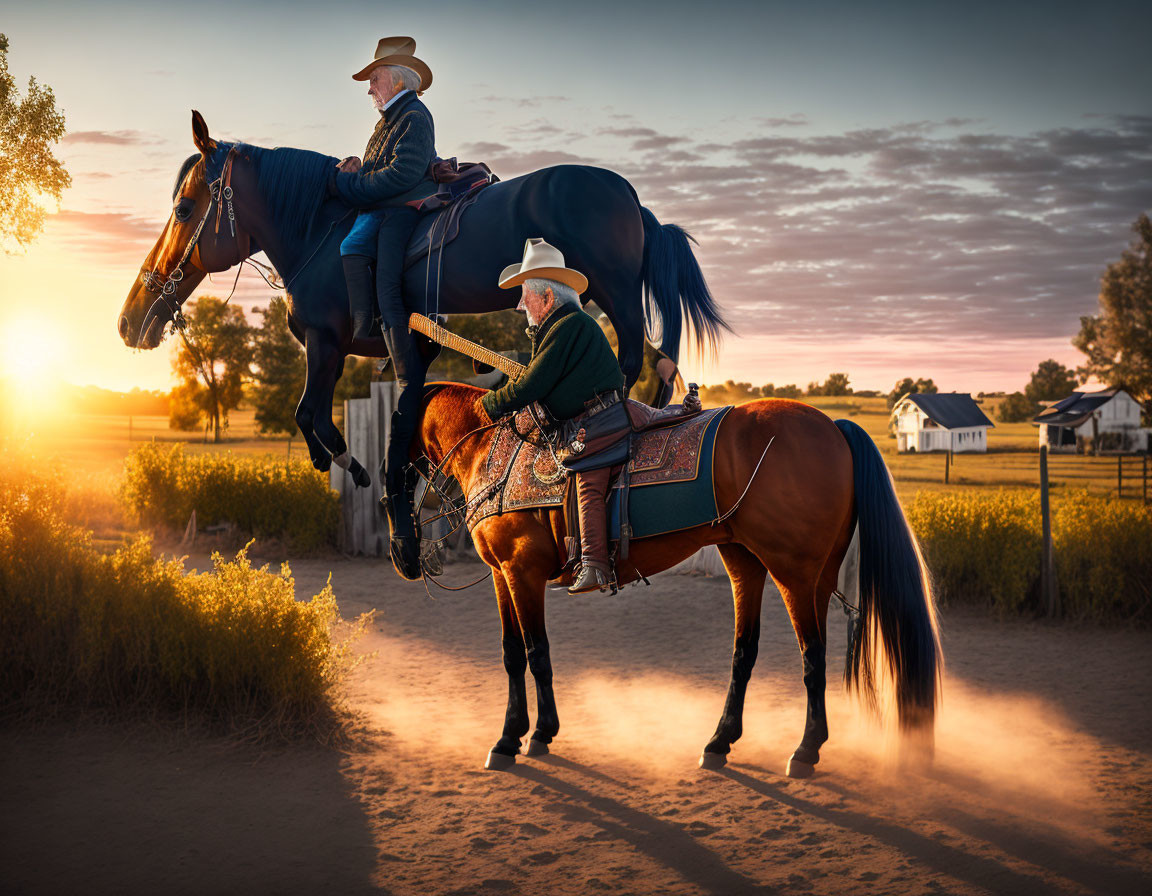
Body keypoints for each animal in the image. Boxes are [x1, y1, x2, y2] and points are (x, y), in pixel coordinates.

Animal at [419, 384, 940, 773]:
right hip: (755, 564)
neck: (491, 451)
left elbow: (534, 653)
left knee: (811, 657)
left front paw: (527, 735)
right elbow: (514, 654)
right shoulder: (503, 576)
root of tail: (833, 426)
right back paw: (721, 741)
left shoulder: (519, 571)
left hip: (794, 573)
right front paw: (521, 733)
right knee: (747, 652)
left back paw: (805, 750)